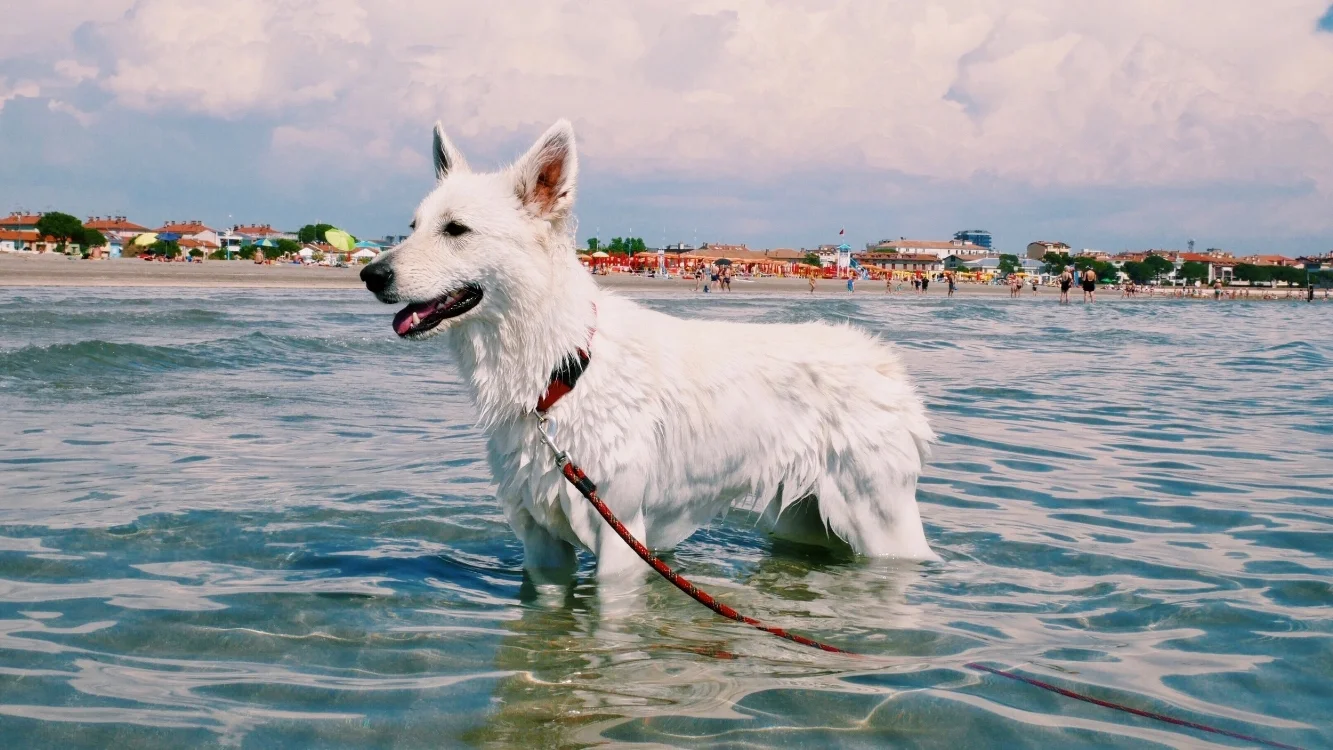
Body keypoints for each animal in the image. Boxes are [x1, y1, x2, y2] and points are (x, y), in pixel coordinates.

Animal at [360, 120, 937, 588]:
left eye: (456, 229)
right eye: (412, 228)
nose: (370, 273)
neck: (562, 370)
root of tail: (884, 361)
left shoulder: (620, 543)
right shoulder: (542, 548)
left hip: (880, 525)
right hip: (803, 521)